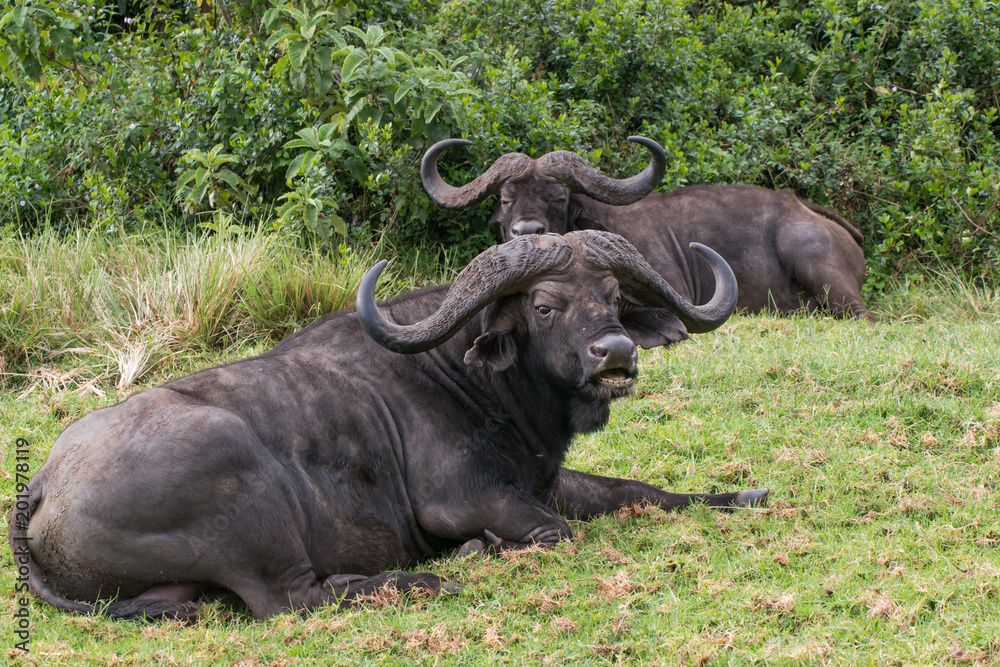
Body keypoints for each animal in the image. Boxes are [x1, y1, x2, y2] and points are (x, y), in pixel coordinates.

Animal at [10, 231, 767, 621]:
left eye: (610, 295)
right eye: (545, 305)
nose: (615, 354)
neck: (469, 377)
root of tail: (42, 481)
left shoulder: (546, 480)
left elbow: (641, 490)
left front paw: (743, 494)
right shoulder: (468, 501)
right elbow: (557, 531)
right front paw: (479, 548)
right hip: (247, 494)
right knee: (290, 598)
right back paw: (430, 579)